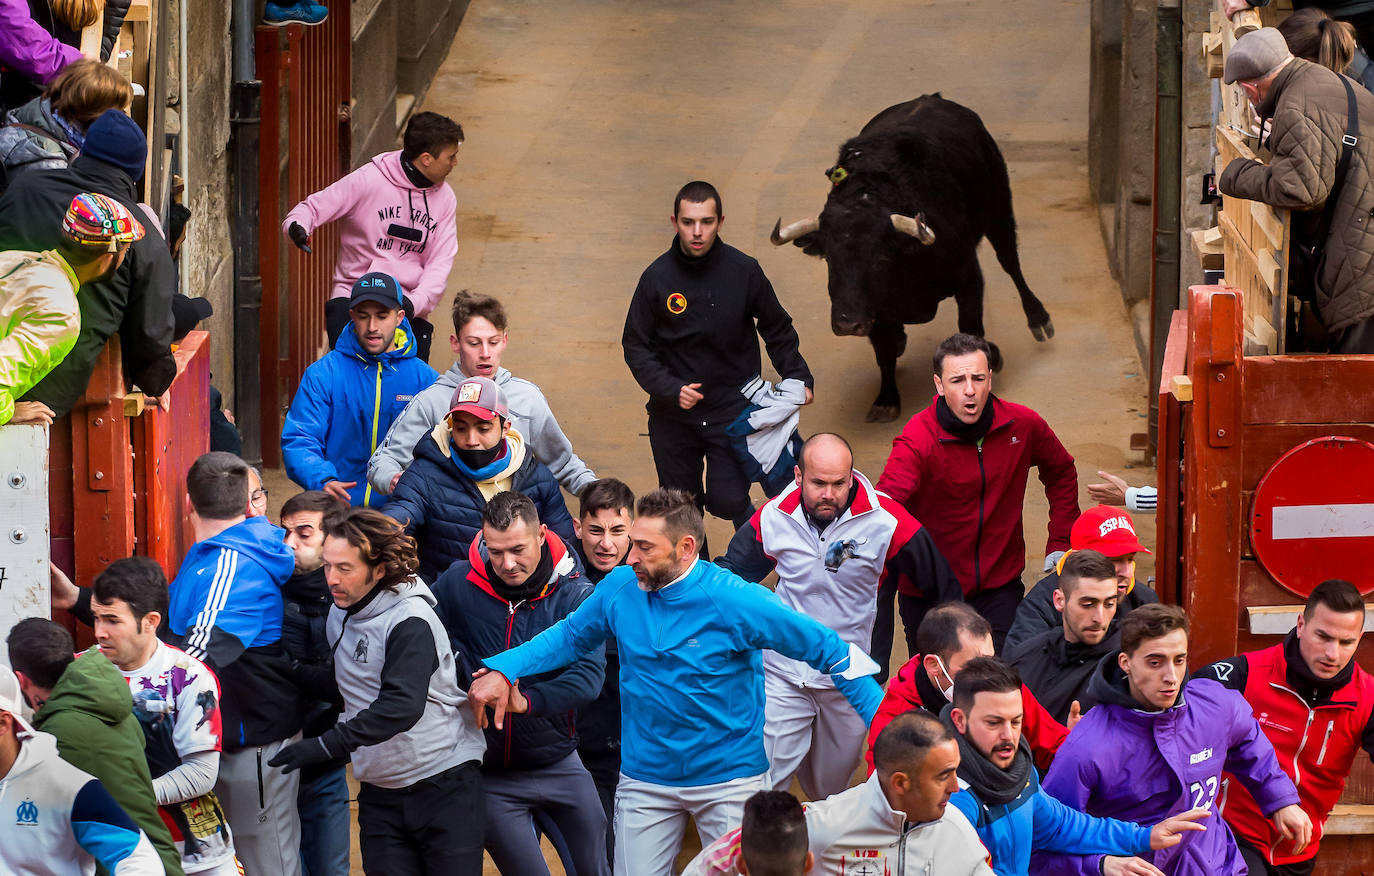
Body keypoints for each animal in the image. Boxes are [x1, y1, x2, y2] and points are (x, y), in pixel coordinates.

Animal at [774, 94, 1049, 422]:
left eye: (880, 260)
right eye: (830, 259)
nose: (847, 323)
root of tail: (933, 97)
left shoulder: (969, 277)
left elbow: (970, 327)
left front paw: (991, 358)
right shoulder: (875, 311)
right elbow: (884, 352)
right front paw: (886, 399)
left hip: (999, 206)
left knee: (1011, 262)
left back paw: (1039, 319)